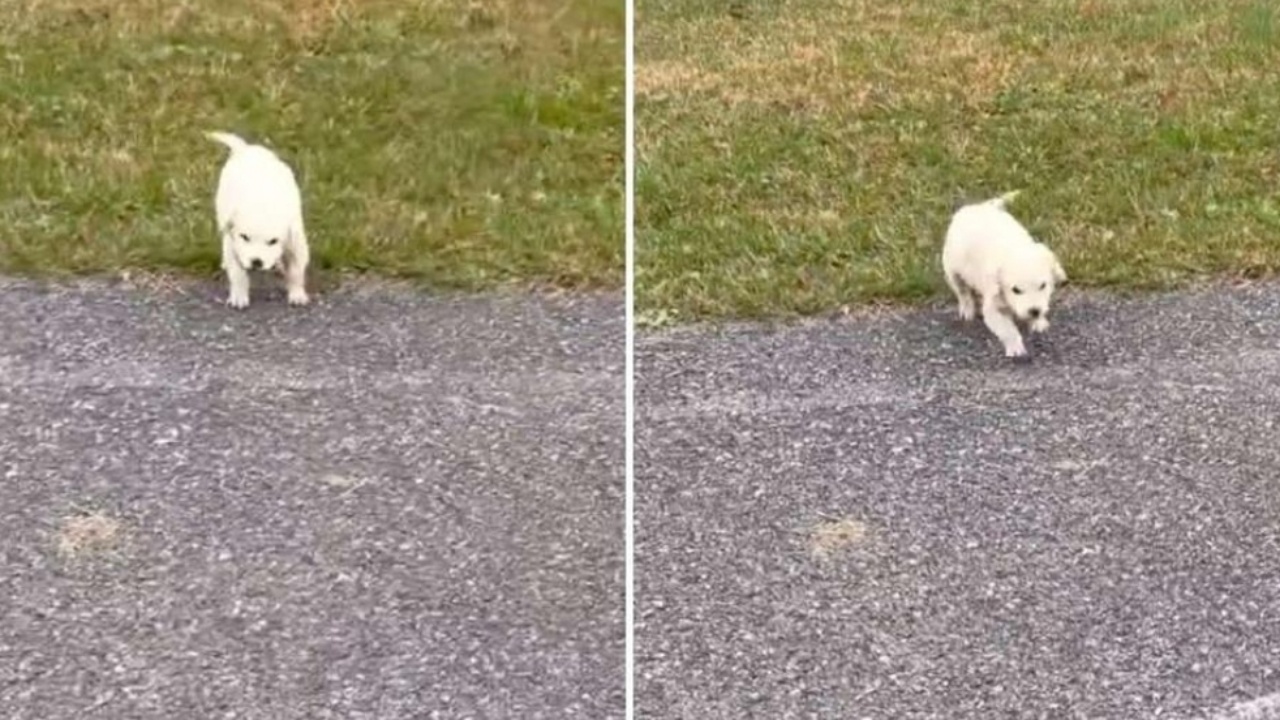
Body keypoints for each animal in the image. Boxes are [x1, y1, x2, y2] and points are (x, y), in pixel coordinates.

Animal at [209, 131, 312, 308]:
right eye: (245, 237)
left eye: (273, 241)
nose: (256, 262)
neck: (262, 204)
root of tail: (247, 149)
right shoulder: (234, 243)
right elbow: (238, 273)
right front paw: (239, 296)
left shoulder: (296, 242)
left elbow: (296, 271)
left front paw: (297, 294)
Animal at [942, 190, 1070, 356]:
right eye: (1016, 290)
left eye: (1043, 286)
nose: (1034, 311)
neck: (1013, 249)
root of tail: (973, 208)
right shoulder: (992, 306)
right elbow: (1006, 329)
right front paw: (1015, 347)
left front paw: (1038, 322)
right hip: (952, 268)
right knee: (962, 291)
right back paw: (967, 309)